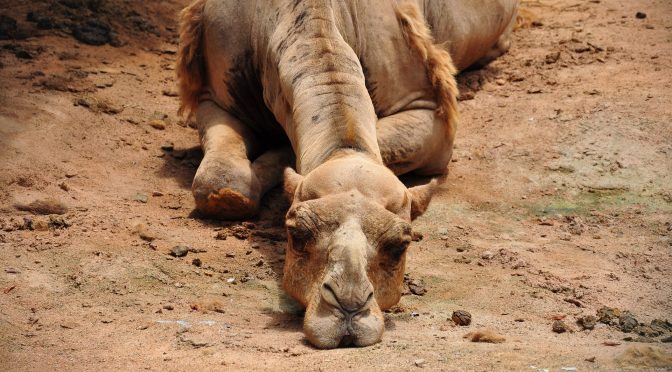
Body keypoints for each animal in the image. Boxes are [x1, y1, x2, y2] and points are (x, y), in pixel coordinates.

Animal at [176, 0, 516, 348]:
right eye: (297, 234)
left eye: (400, 246)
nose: (348, 308)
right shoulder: (213, 95)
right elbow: (222, 184)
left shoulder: (429, 113)